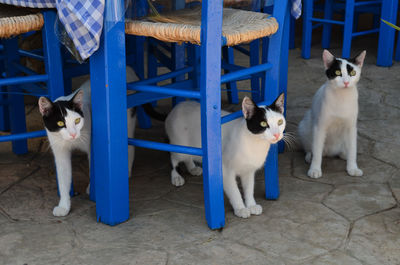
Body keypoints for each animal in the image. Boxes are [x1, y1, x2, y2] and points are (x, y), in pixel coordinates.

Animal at [38, 68, 138, 217]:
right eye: (60, 123)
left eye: (77, 121)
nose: (73, 134)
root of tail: (130, 69)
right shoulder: (60, 150)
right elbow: (63, 178)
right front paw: (64, 206)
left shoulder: (93, 145)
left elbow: (94, 167)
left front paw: (93, 189)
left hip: (127, 119)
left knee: (129, 146)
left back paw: (127, 170)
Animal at [296, 48, 366, 178]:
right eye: (337, 72)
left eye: (353, 73)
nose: (346, 82)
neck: (342, 98)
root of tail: (330, 152)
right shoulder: (320, 127)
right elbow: (317, 150)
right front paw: (315, 169)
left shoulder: (351, 127)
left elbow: (352, 149)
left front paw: (352, 168)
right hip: (304, 127)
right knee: (311, 148)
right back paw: (310, 156)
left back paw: (344, 154)